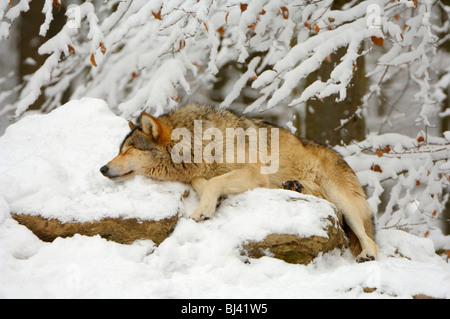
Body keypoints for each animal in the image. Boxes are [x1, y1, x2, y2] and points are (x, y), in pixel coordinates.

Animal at [100, 104, 378, 264]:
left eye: (129, 150)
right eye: (119, 150)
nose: (102, 168)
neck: (200, 144)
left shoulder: (253, 173)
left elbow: (214, 182)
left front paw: (202, 211)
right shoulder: (202, 174)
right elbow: (204, 182)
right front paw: (211, 203)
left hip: (345, 203)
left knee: (368, 237)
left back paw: (368, 254)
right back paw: (293, 187)